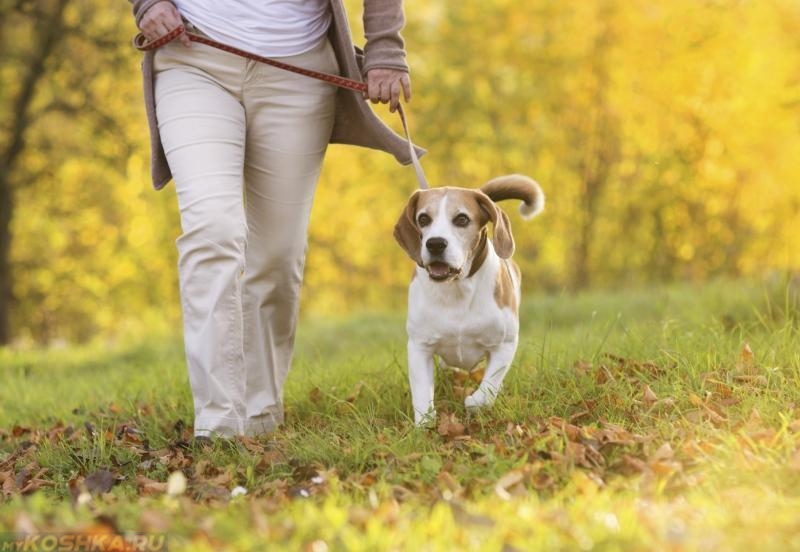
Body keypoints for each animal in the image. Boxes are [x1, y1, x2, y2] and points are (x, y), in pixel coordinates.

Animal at [392, 175, 544, 424]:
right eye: (423, 219)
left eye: (462, 219)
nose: (435, 243)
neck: (457, 288)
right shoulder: (419, 346)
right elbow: (422, 392)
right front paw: (425, 423)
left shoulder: (505, 344)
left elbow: (489, 386)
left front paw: (474, 402)